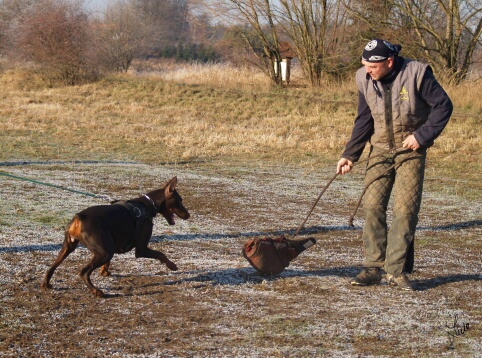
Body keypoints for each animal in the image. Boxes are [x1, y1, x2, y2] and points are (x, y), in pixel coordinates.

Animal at [40, 176, 190, 296]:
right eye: (180, 201)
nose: (188, 215)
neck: (148, 205)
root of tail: (79, 217)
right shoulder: (141, 249)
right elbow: (160, 254)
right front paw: (172, 266)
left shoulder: (112, 241)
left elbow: (107, 264)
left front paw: (104, 272)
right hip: (104, 252)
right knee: (83, 272)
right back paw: (96, 291)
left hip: (69, 247)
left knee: (52, 267)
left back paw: (46, 284)